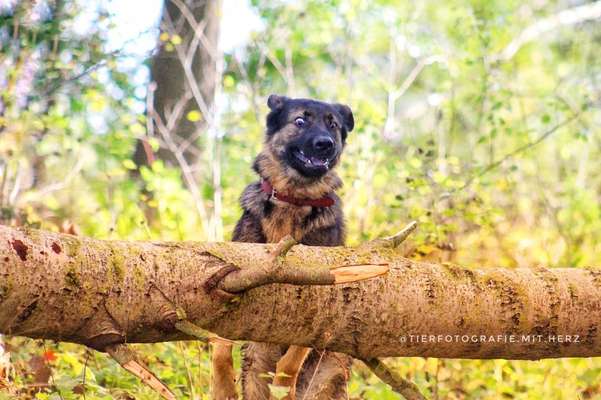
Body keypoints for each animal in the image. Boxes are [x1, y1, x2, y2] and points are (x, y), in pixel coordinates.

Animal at [214, 94, 356, 400]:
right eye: (300, 121)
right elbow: (219, 345)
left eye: (333, 125)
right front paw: (222, 386)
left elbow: (291, 362)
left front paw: (283, 386)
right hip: (254, 366)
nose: (325, 143)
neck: (294, 198)